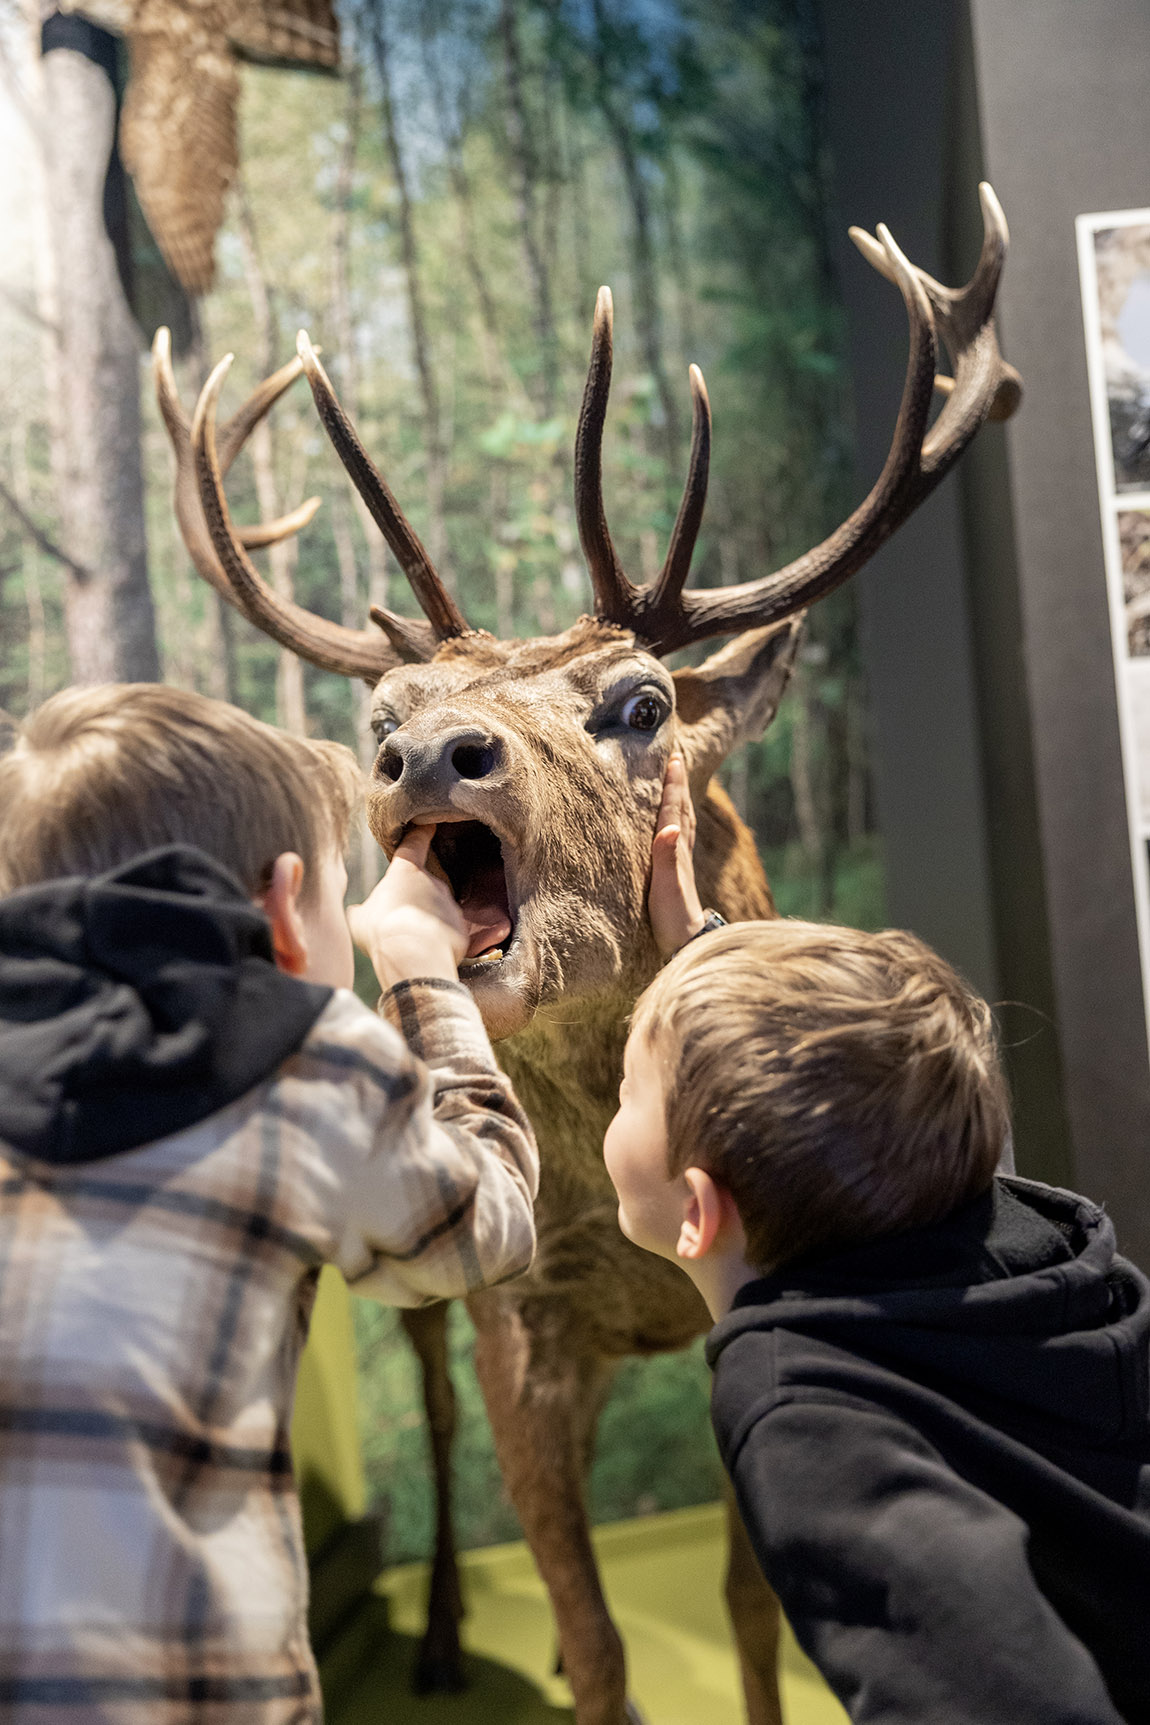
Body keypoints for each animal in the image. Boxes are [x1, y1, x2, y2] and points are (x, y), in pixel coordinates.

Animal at [157, 185, 1020, 1725]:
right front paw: (563, 1646)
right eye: (385, 708)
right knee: (435, 1404)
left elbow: (744, 1602)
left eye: (639, 704)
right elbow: (597, 1617)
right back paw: (445, 1629)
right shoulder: (523, 1312)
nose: (426, 753)